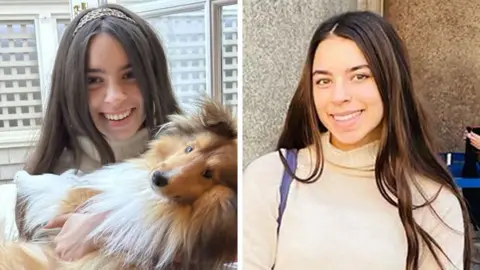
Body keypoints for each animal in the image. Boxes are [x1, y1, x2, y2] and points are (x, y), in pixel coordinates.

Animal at [2, 98, 238, 268]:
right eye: (190, 148)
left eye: (208, 173)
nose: (157, 177)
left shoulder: (81, 203)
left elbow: (58, 188)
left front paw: (21, 176)